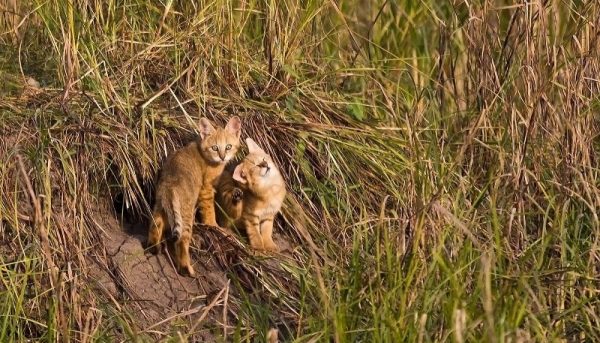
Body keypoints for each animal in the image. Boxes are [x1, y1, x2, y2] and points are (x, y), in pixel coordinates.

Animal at [147, 116, 241, 276]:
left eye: (228, 146)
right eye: (215, 148)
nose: (222, 157)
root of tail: (170, 186)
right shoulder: (206, 189)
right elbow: (209, 211)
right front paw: (214, 226)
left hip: (161, 206)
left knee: (156, 224)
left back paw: (153, 247)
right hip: (185, 213)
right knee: (181, 240)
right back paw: (186, 269)